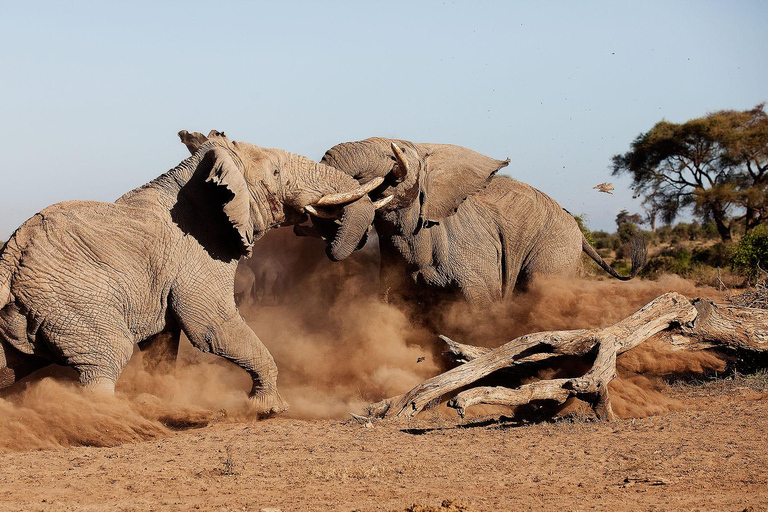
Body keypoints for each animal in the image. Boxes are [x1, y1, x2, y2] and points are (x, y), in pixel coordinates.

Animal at [0, 130, 384, 414]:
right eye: (276, 173)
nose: (330, 246)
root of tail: (12, 253)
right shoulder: (197, 254)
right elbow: (211, 326)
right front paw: (269, 409)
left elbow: (164, 341)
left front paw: (159, 396)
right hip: (74, 301)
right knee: (108, 354)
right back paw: (111, 420)